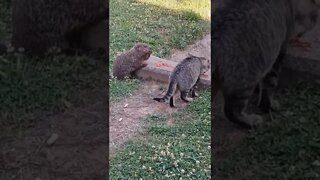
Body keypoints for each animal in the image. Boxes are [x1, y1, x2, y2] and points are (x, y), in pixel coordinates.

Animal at [211, 0, 318, 129]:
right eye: (314, 13)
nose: (315, 20)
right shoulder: (277, 52)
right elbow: (270, 85)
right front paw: (269, 105)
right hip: (244, 82)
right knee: (231, 111)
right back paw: (251, 121)